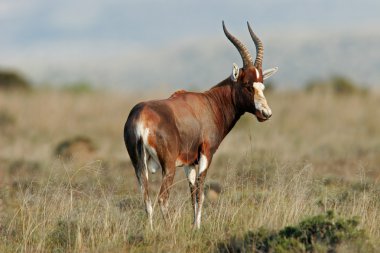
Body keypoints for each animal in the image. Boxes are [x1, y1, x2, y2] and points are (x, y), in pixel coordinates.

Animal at [123, 20, 278, 228]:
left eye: (262, 85)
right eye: (247, 85)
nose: (265, 114)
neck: (209, 103)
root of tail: (141, 118)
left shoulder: (189, 162)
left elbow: (192, 193)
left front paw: (193, 225)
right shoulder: (206, 153)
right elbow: (200, 193)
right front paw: (197, 227)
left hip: (139, 167)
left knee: (146, 199)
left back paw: (152, 230)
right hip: (168, 166)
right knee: (162, 198)